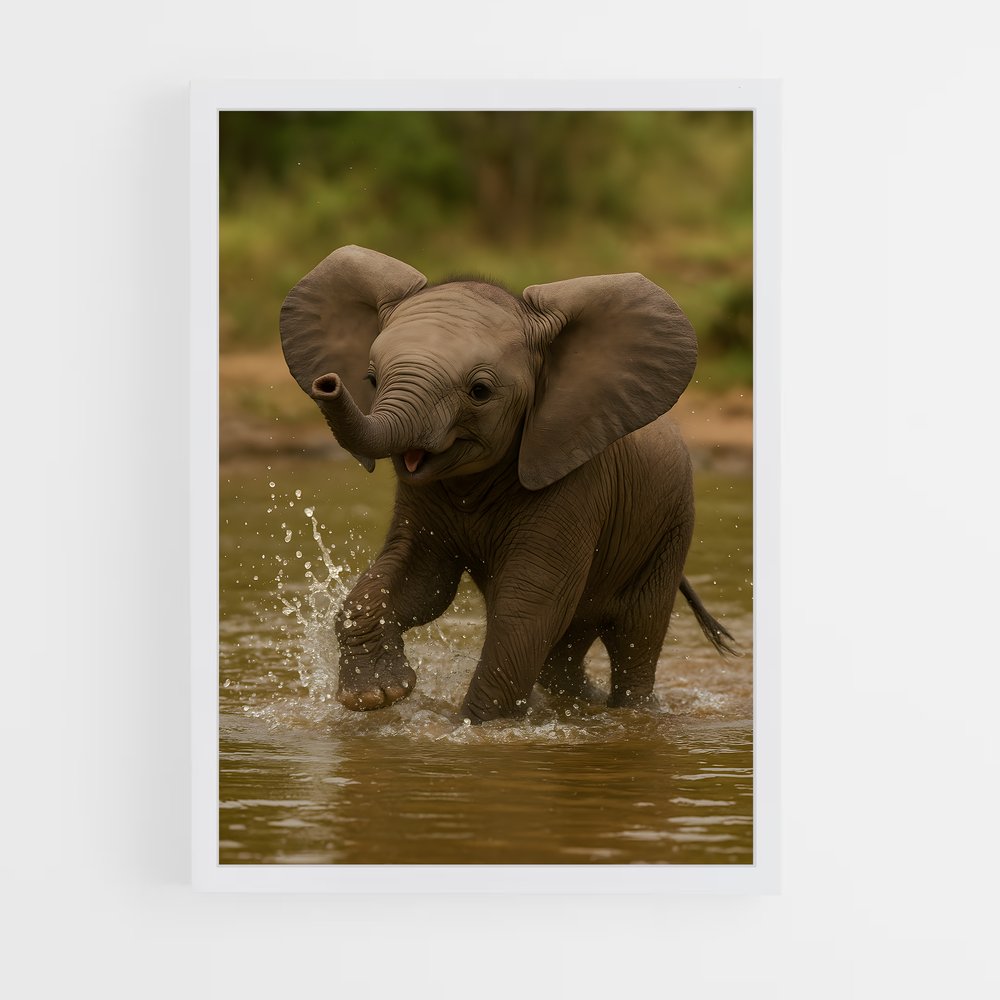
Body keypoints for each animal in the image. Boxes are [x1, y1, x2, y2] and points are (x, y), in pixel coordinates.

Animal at [280, 245, 736, 724]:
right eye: (370, 379)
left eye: (479, 391)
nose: (327, 384)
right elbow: (419, 581)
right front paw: (377, 696)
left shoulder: (578, 480)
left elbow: (527, 606)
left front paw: (476, 727)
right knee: (567, 650)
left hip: (669, 530)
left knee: (636, 635)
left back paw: (635, 712)